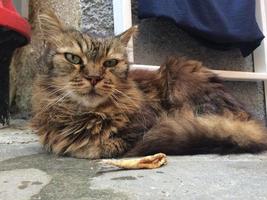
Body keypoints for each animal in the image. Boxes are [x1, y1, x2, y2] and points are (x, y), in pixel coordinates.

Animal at [30, 10, 267, 159]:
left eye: (110, 63)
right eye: (74, 58)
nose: (94, 78)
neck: (84, 115)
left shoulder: (145, 127)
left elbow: (97, 146)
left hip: (178, 73)